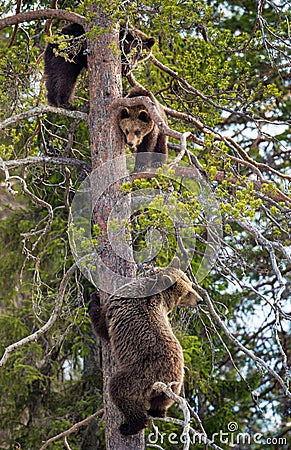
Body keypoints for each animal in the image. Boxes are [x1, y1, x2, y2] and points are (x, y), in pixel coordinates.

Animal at [88, 260, 203, 436]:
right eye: (188, 291)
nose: (200, 300)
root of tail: (164, 382)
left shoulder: (118, 305)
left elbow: (102, 326)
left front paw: (94, 298)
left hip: (140, 374)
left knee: (119, 390)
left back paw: (130, 426)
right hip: (176, 382)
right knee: (162, 401)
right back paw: (156, 412)